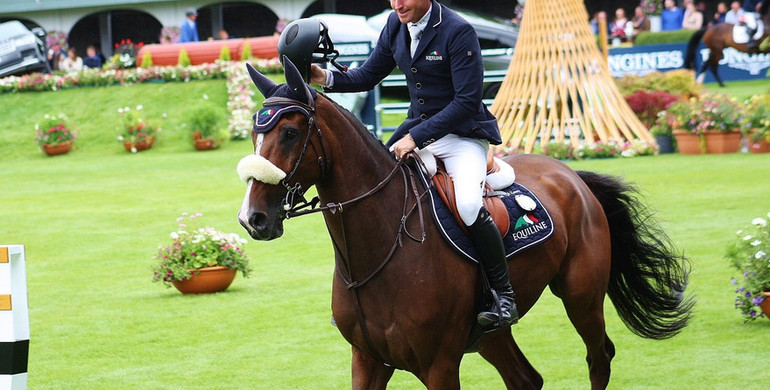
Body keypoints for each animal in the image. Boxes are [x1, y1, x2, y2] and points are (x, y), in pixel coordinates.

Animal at [234, 58, 688, 390]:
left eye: (290, 133)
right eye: (254, 136)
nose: (252, 219)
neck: (380, 249)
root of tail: (571, 174)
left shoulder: (438, 365)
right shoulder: (367, 360)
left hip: (582, 296)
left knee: (599, 357)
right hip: (492, 334)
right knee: (527, 379)